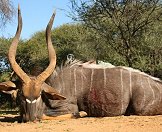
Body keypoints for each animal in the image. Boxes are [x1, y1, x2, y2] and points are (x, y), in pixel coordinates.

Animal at [1, 5, 162, 122]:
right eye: (21, 94)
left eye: (40, 94)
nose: (31, 118)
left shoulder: (69, 107)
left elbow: (55, 114)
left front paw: (83, 113)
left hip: (139, 108)